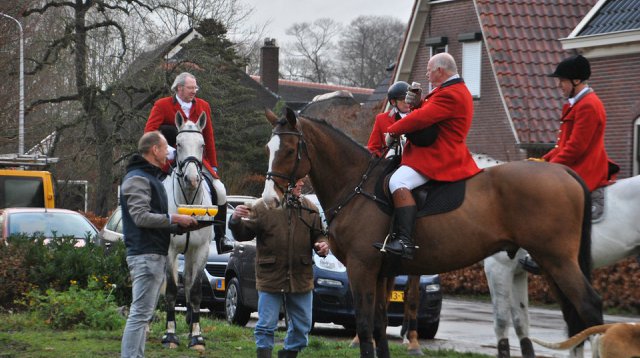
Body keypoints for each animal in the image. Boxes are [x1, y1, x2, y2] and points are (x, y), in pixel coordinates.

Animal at [262, 109, 600, 358]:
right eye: (268, 148)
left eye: (289, 150)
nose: (269, 199)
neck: (356, 186)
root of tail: (563, 171)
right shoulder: (381, 273)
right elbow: (379, 325)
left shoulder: (362, 268)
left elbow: (365, 326)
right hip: (549, 263)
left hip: (558, 260)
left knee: (590, 308)